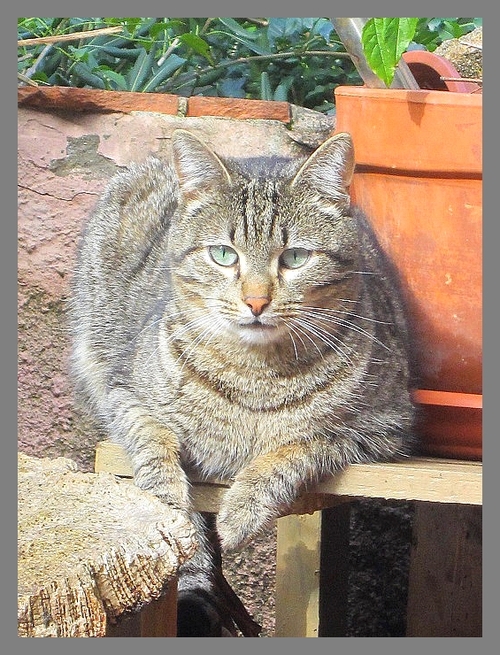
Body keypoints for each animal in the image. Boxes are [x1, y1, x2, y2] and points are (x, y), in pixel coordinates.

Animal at [68, 129, 416, 636]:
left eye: (295, 257)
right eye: (223, 255)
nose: (255, 301)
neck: (255, 374)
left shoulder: (383, 429)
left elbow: (290, 452)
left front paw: (239, 514)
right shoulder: (123, 392)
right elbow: (153, 440)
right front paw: (172, 505)